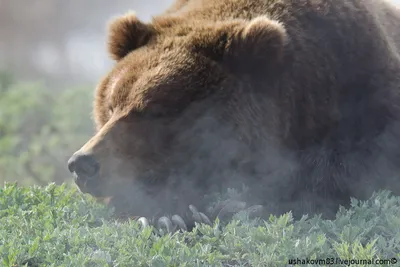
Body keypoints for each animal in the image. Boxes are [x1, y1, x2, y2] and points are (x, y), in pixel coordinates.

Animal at [68, 0, 400, 224]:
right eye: (111, 105)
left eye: (153, 109)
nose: (82, 163)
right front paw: (165, 215)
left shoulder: (365, 92)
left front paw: (246, 204)